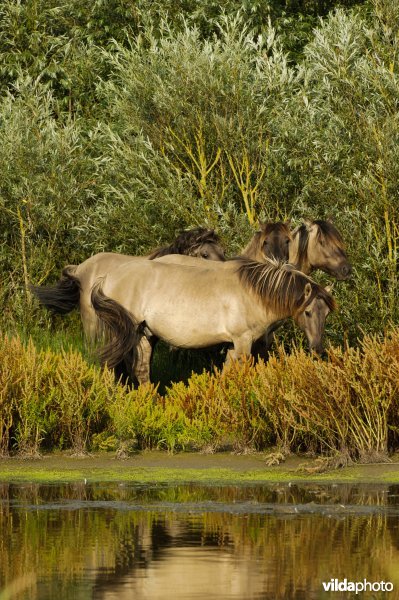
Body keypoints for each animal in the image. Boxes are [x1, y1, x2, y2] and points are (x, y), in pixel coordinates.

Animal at [91, 258, 338, 384]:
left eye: (326, 314)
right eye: (308, 312)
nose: (318, 349)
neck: (252, 293)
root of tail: (109, 276)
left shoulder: (233, 344)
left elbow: (227, 374)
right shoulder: (243, 341)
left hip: (145, 335)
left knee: (141, 371)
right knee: (110, 367)